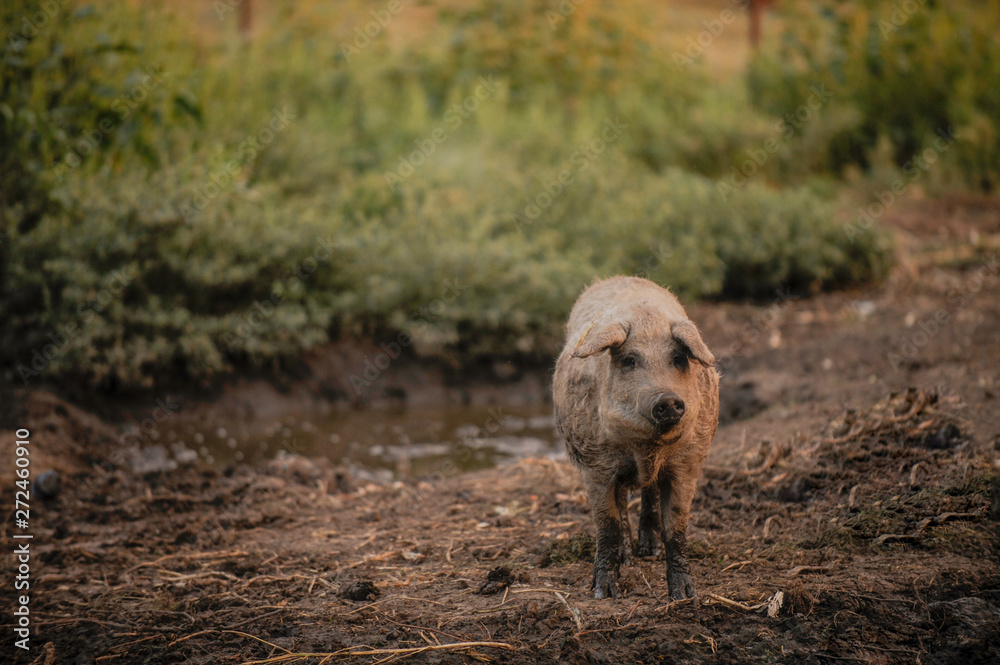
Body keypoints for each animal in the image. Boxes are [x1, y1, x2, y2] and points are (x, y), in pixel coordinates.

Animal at [553, 276, 719, 600]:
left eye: (678, 359)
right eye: (630, 360)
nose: (668, 399)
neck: (646, 449)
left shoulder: (686, 465)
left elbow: (676, 528)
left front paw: (685, 595)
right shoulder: (596, 467)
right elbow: (607, 525)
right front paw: (604, 593)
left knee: (649, 493)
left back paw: (648, 551)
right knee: (621, 503)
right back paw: (627, 558)